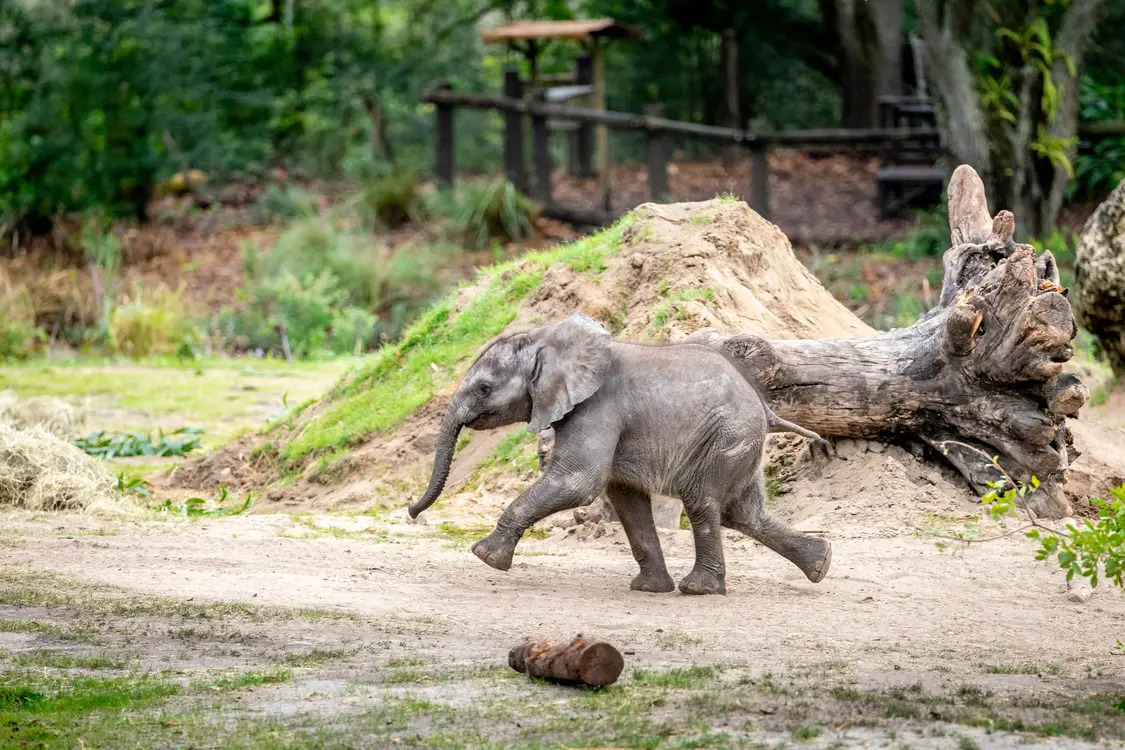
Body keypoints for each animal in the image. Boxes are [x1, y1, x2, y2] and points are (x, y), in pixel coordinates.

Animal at [409, 314, 832, 593]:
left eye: (483, 389)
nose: (412, 512)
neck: (547, 340)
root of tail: (766, 408)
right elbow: (624, 496)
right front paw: (649, 588)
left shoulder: (597, 406)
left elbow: (578, 482)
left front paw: (485, 556)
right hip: (737, 442)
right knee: (742, 514)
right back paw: (821, 563)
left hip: (725, 436)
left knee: (703, 503)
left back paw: (699, 589)